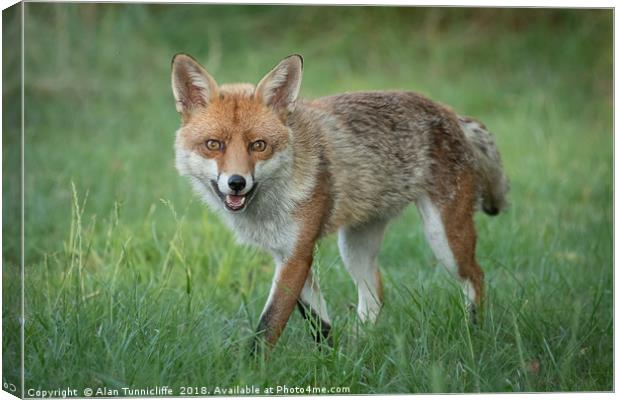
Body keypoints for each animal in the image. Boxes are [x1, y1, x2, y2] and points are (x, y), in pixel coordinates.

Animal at [171, 52, 508, 350]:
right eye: (214, 144)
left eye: (259, 145)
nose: (237, 183)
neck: (270, 206)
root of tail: (448, 111)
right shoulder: (287, 255)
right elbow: (319, 324)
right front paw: (332, 362)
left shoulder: (298, 254)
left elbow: (268, 327)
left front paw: (253, 371)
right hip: (355, 247)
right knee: (375, 294)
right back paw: (361, 348)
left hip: (444, 240)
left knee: (476, 277)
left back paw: (474, 333)